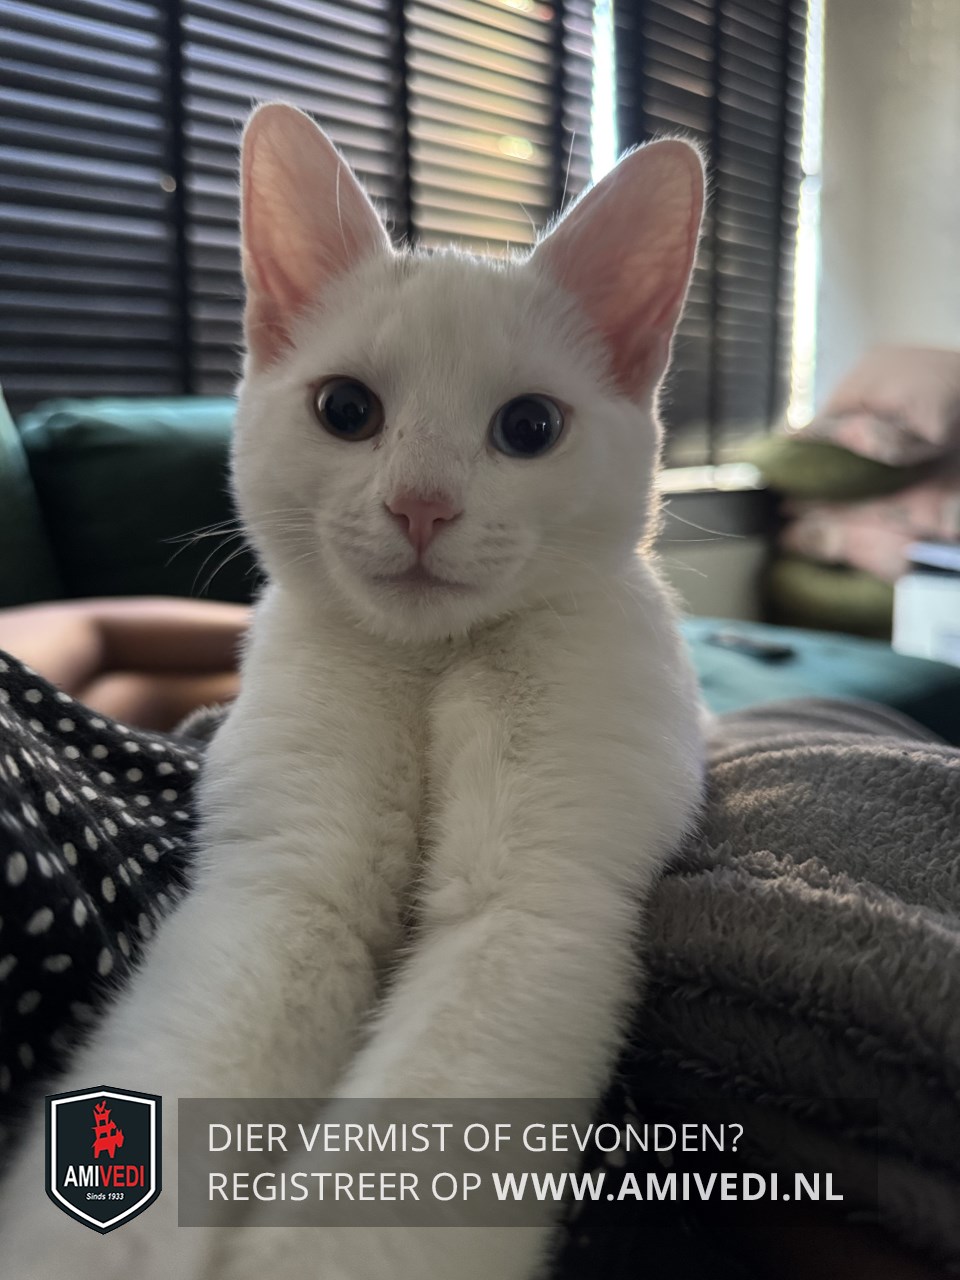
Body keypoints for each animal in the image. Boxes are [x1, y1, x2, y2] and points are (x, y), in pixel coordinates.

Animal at [0, 103, 705, 1279]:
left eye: (528, 428)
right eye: (346, 408)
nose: (421, 504)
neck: (427, 666)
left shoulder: (530, 908)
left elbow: (398, 1175)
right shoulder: (286, 888)